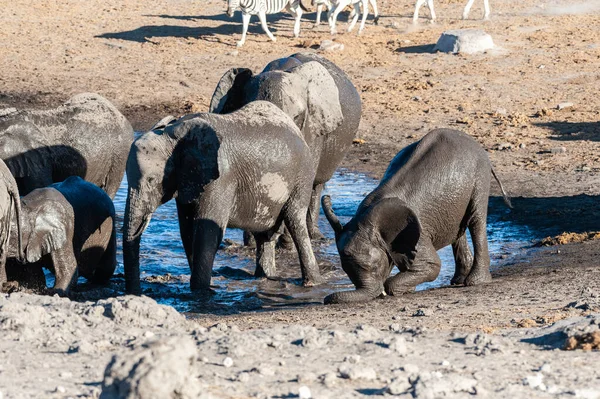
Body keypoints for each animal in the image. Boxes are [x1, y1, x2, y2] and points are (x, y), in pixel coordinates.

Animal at [122, 101, 326, 296]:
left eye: (151, 180)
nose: (139, 292)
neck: (173, 135)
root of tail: (295, 129)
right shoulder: (187, 181)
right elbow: (187, 231)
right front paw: (204, 287)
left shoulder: (221, 178)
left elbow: (208, 231)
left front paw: (202, 291)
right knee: (264, 235)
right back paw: (265, 278)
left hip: (302, 177)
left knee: (295, 221)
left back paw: (312, 283)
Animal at [211, 51, 360, 242]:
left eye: (296, 117)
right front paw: (253, 242)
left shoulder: (311, 129)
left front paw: (284, 242)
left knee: (315, 186)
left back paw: (315, 236)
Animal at [322, 130, 512, 304]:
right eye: (345, 270)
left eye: (375, 267)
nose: (326, 299)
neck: (366, 219)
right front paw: (407, 289)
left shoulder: (417, 233)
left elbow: (432, 265)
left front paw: (398, 289)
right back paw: (458, 280)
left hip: (479, 175)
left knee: (476, 220)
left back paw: (475, 282)